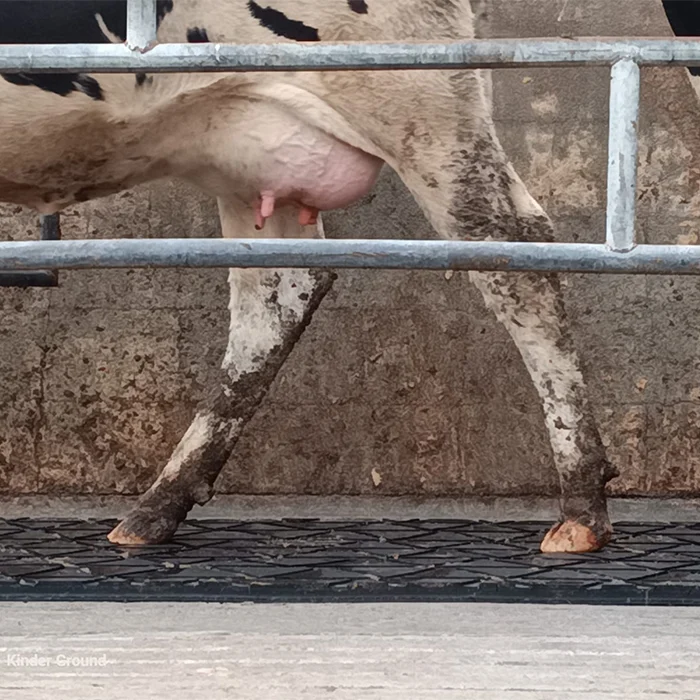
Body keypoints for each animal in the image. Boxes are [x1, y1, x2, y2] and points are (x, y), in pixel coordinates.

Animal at [0, 0, 627, 554]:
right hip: (243, 142)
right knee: (278, 293)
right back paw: (156, 508)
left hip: (414, 94)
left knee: (510, 246)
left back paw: (580, 510)